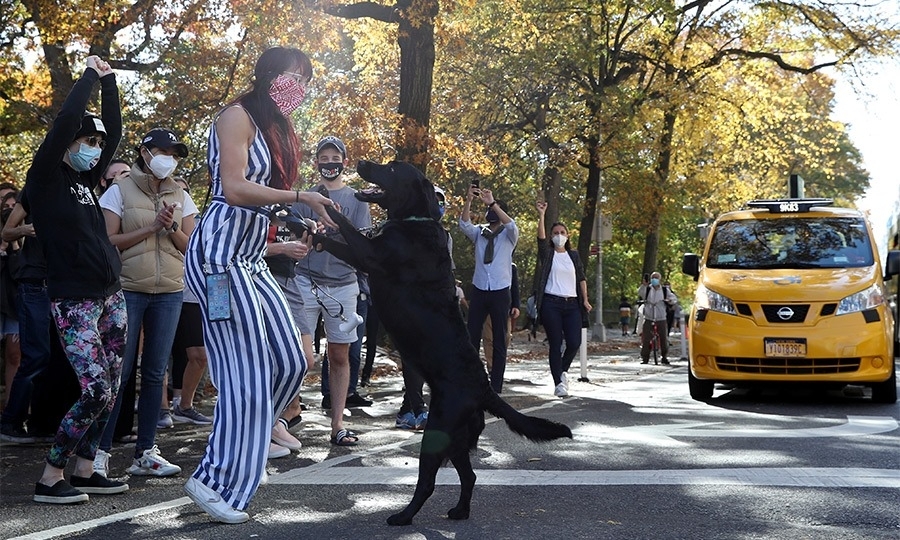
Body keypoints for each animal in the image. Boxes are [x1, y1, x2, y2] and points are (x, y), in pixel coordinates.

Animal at [310, 160, 572, 528]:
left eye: (392, 168)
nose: (361, 163)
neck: (413, 222)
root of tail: (485, 390)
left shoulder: (369, 254)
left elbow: (345, 228)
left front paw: (322, 207)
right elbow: (335, 241)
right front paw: (309, 231)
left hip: (436, 434)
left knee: (428, 483)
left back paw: (403, 516)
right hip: (456, 440)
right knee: (469, 476)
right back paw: (460, 511)